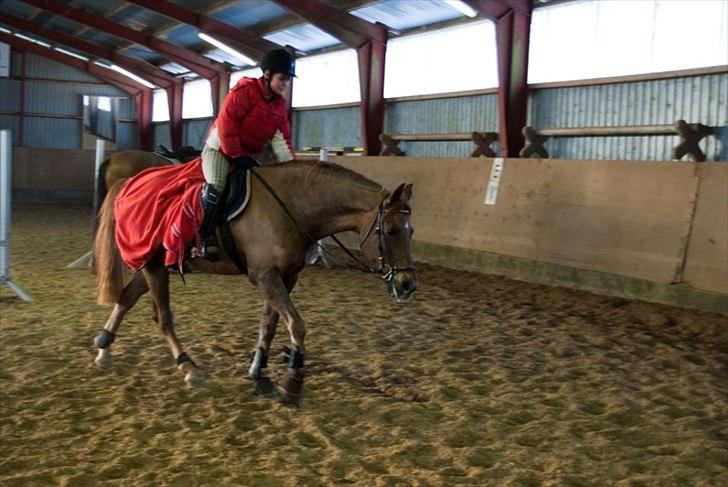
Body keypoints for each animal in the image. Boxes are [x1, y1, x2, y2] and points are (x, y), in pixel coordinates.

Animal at [92, 158, 417, 406]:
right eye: (390, 230)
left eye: (410, 230)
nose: (407, 285)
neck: (293, 207)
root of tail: (129, 184)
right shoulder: (265, 276)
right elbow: (296, 325)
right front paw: (292, 382)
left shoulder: (285, 276)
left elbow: (270, 326)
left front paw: (260, 375)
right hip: (153, 266)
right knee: (162, 318)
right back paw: (189, 368)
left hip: (154, 263)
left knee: (126, 297)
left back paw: (104, 348)